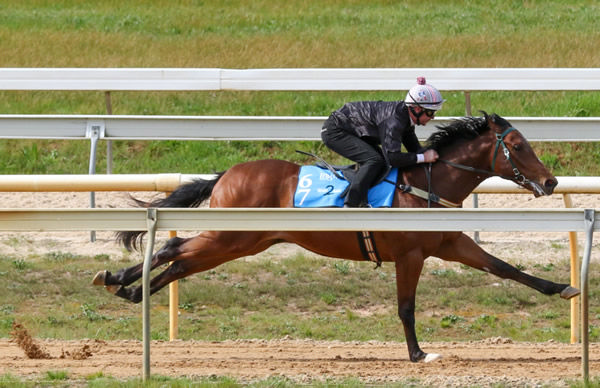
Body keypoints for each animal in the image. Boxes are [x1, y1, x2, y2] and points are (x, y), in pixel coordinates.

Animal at [95, 113, 580, 364]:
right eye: (516, 146)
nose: (552, 181)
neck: (428, 182)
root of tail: (228, 174)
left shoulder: (448, 244)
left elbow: (506, 268)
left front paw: (564, 287)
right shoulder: (411, 254)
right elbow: (406, 307)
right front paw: (418, 353)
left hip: (242, 241)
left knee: (181, 261)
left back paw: (130, 290)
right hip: (232, 235)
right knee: (174, 248)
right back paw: (116, 279)